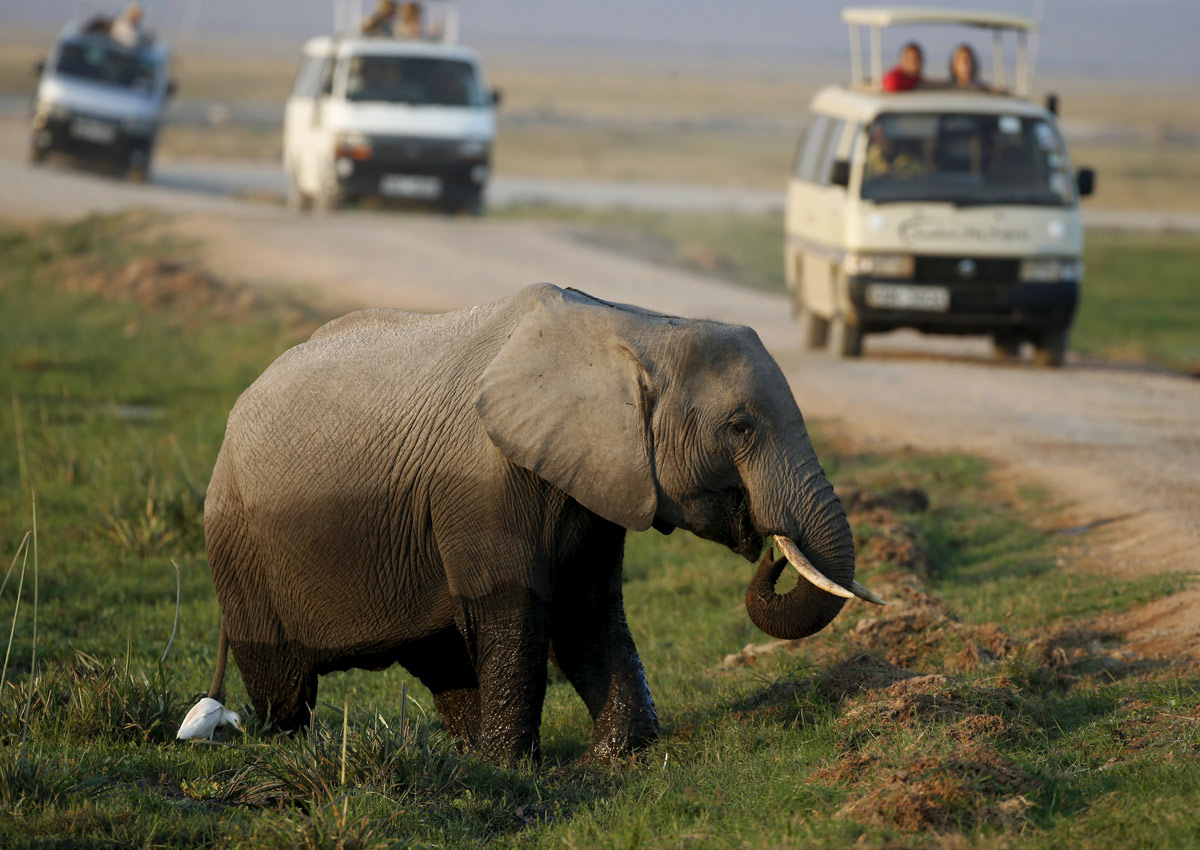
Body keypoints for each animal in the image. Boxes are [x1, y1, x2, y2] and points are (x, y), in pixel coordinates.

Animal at [200, 283, 877, 763]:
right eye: (739, 428)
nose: (772, 553)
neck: (634, 329)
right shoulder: (482, 486)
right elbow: (515, 610)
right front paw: (511, 769)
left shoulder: (596, 480)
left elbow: (587, 610)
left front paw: (618, 756)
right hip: (240, 548)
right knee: (284, 685)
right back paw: (288, 752)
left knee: (440, 659)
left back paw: (465, 757)